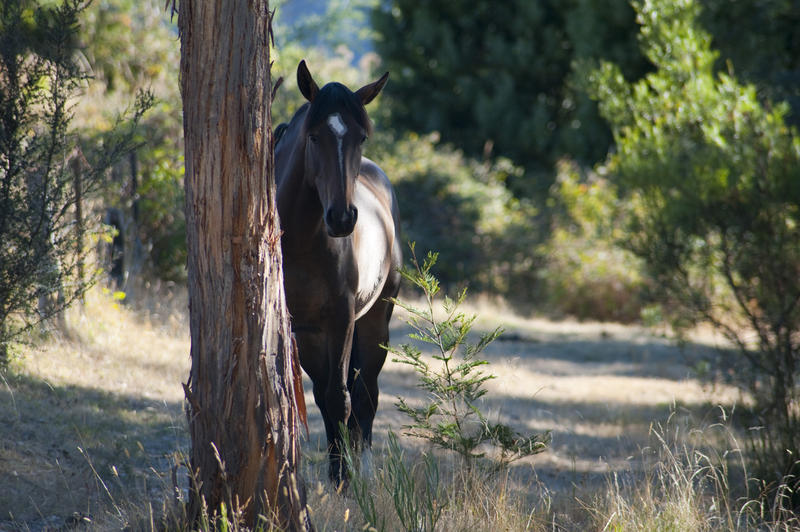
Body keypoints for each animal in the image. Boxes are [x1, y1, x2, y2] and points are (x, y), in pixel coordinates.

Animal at [276, 61, 404, 482]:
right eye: (313, 136)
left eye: (361, 137)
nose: (343, 218)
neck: (300, 240)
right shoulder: (298, 327)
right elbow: (320, 398)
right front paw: (336, 474)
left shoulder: (343, 318)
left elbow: (341, 399)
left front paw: (345, 484)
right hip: (315, 337)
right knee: (329, 394)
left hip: (376, 320)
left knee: (365, 395)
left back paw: (361, 468)